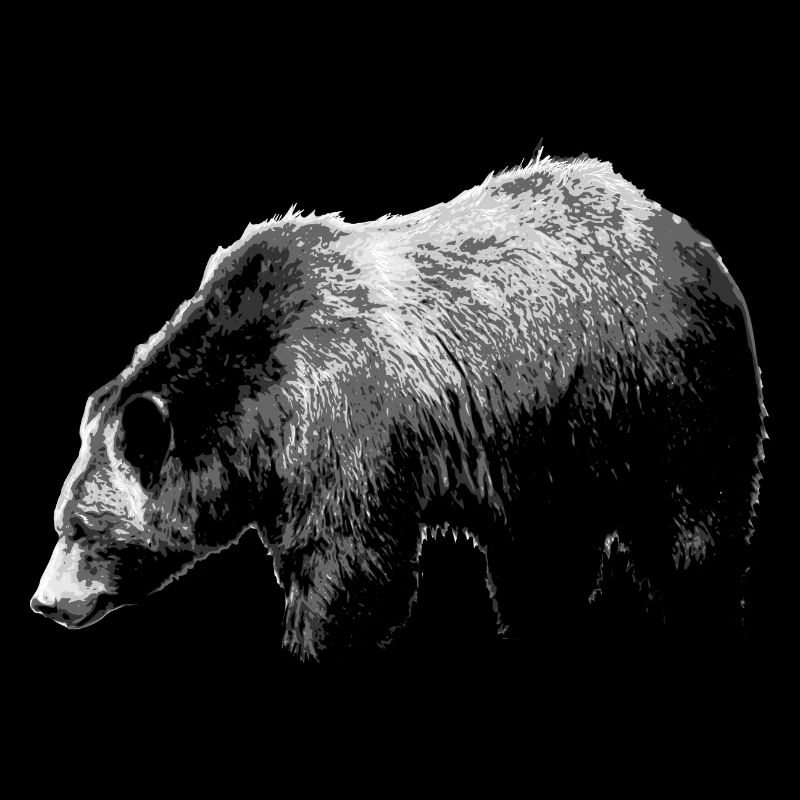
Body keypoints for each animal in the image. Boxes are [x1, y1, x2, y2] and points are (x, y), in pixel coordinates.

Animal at [30, 153, 766, 660]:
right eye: (60, 521)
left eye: (84, 528)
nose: (45, 603)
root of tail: (678, 228)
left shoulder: (346, 423)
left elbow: (350, 567)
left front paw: (312, 642)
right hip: (549, 437)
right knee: (542, 553)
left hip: (658, 387)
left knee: (689, 528)